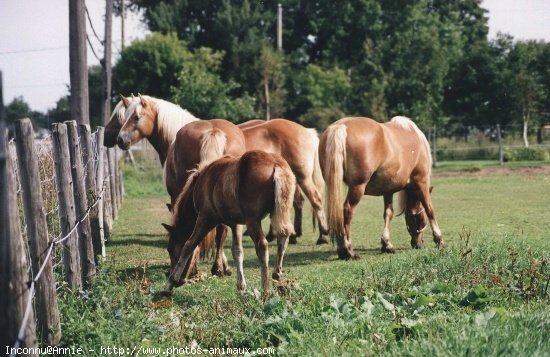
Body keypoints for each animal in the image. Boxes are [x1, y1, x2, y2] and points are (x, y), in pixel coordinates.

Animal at [162, 149, 296, 296]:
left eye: (170, 249)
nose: (178, 278)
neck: (204, 180)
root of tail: (276, 165)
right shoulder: (235, 224)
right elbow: (237, 250)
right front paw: (241, 286)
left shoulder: (206, 217)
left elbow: (189, 244)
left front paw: (170, 283)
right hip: (281, 212)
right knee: (283, 236)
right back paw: (277, 274)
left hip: (252, 219)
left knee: (262, 245)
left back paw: (265, 289)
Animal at [320, 116, 444, 258]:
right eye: (420, 218)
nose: (418, 244)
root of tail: (341, 126)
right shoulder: (421, 181)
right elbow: (430, 210)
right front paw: (439, 239)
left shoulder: (388, 190)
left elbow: (388, 214)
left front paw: (386, 244)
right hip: (357, 187)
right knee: (347, 210)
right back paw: (347, 249)